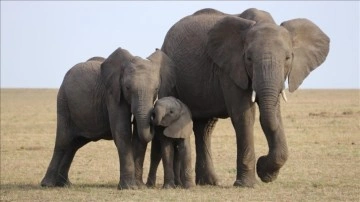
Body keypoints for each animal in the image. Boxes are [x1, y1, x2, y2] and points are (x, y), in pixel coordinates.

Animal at [40, 47, 174, 189]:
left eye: (156, 89)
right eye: (127, 88)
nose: (154, 117)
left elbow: (139, 135)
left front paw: (139, 187)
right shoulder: (112, 94)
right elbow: (122, 131)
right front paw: (129, 187)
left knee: (73, 145)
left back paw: (65, 184)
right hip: (63, 102)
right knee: (63, 141)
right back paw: (47, 184)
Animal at [159, 8, 330, 187]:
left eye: (288, 58)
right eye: (248, 58)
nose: (262, 163)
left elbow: (274, 114)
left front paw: (266, 174)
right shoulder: (229, 69)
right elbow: (244, 116)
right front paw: (248, 183)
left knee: (205, 127)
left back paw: (209, 182)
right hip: (168, 67)